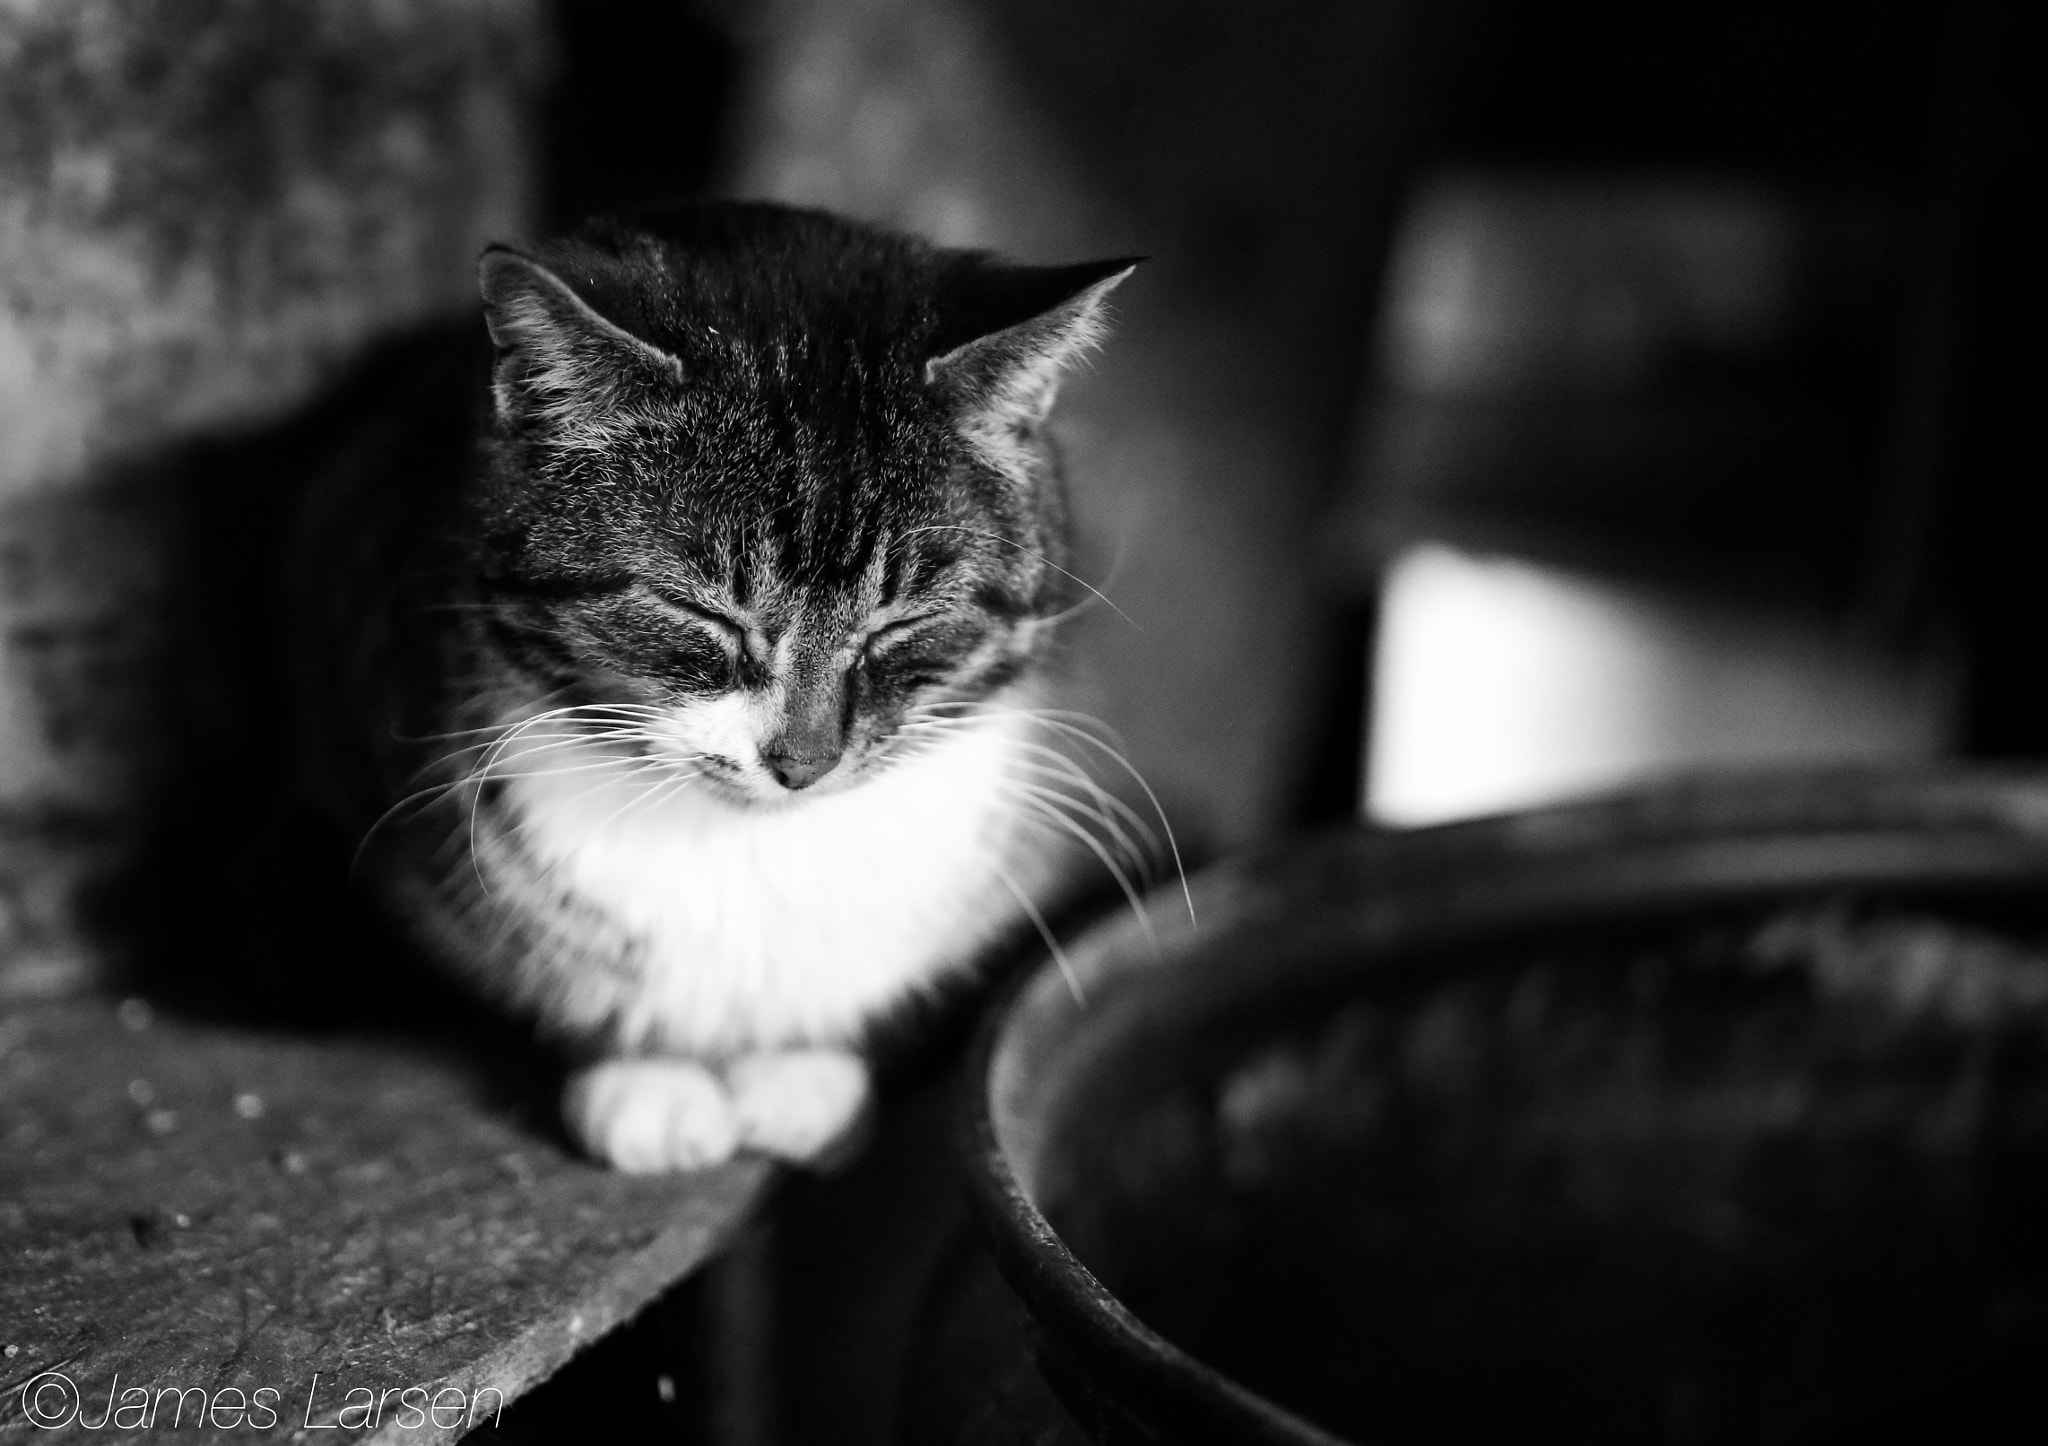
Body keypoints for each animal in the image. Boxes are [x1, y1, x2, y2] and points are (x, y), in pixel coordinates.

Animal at [286, 202, 1146, 1171]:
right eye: (703, 613)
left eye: (901, 624)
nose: (803, 761)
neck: (752, 851)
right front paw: (646, 1077)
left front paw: (801, 1067)